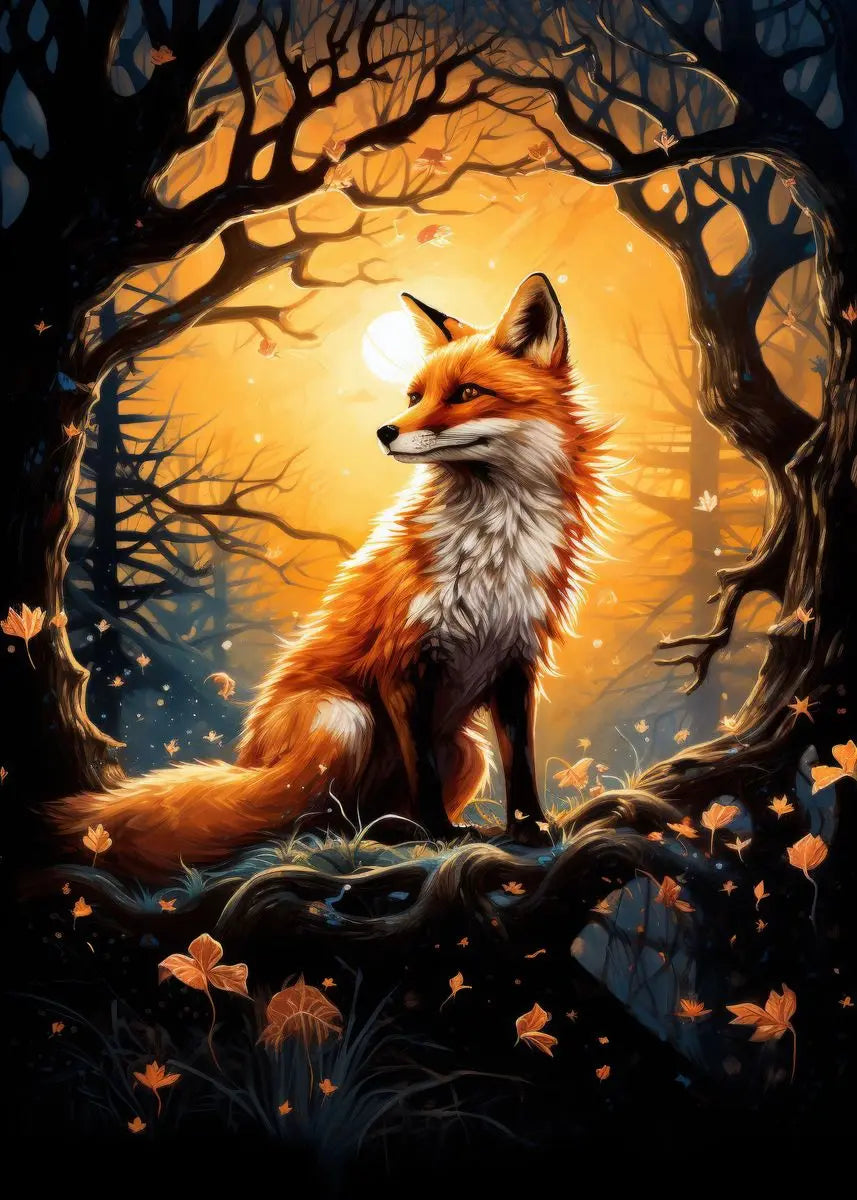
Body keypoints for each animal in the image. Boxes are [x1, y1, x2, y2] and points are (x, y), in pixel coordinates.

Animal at [53, 273, 611, 878]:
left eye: (466, 393)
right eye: (414, 396)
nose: (385, 431)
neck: (493, 543)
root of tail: (250, 761)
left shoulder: (514, 659)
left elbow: (522, 765)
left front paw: (530, 831)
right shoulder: (402, 662)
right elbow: (425, 775)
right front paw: (440, 835)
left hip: (465, 750)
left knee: (358, 816)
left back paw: (391, 831)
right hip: (345, 718)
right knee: (299, 817)